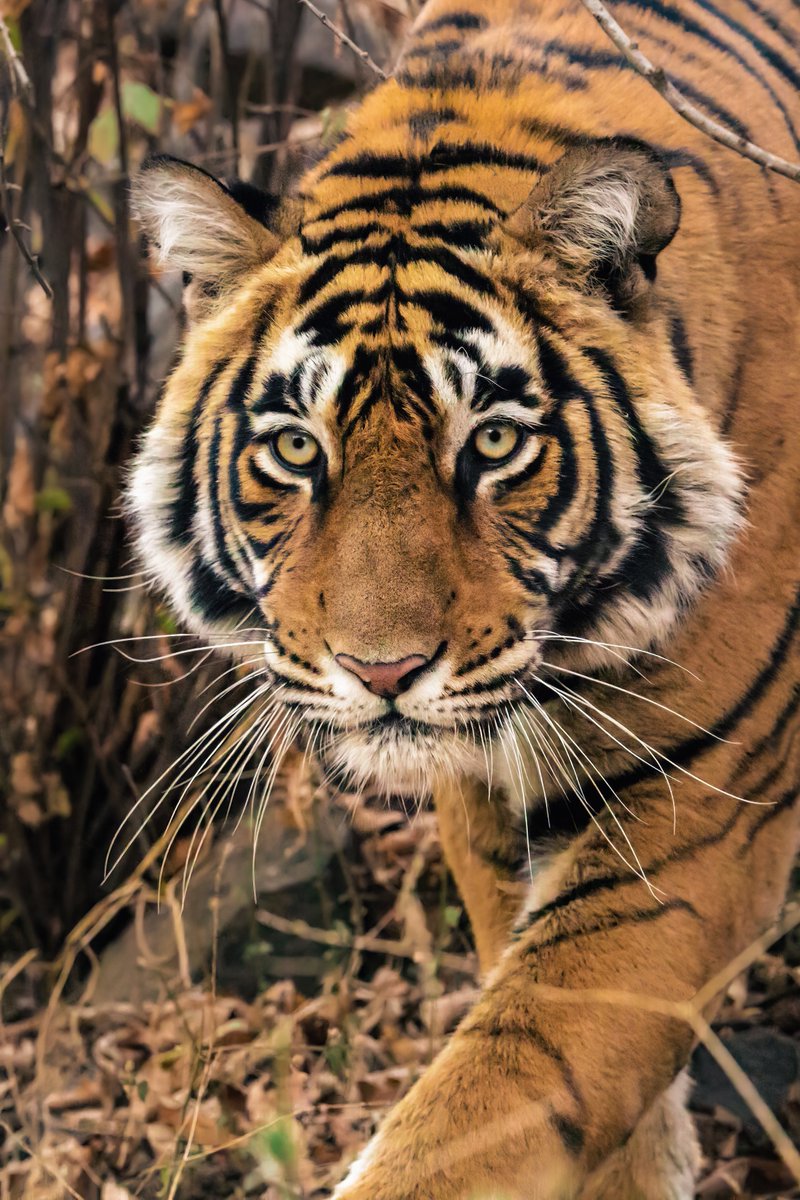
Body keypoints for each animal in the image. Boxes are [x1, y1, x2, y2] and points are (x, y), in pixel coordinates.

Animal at [126, 0, 800, 1195]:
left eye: (491, 442)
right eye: (294, 449)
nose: (381, 671)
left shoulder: (700, 814)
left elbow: (497, 1096)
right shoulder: (485, 796)